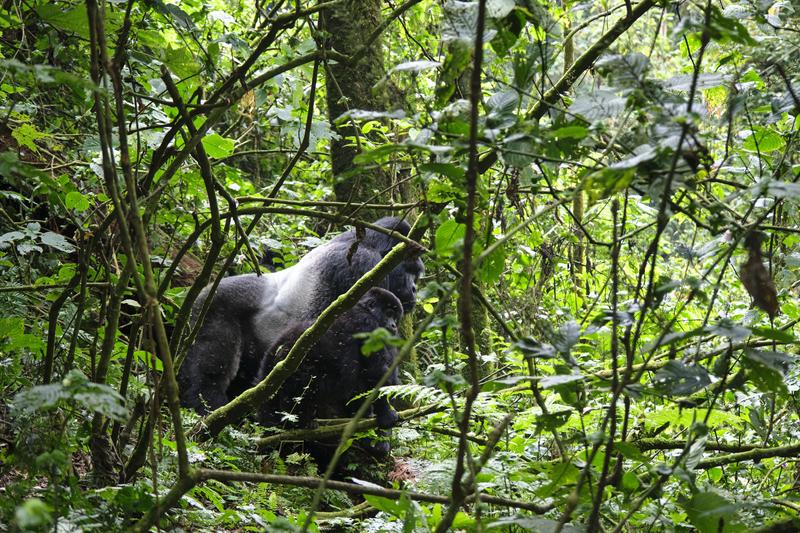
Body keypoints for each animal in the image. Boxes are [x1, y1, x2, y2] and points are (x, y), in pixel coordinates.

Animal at [178, 216, 422, 412]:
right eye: (410, 270)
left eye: (417, 275)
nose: (414, 289)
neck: (370, 243)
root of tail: (202, 292)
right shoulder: (364, 267)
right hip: (212, 308)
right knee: (210, 369)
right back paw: (207, 403)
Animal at [260, 286, 404, 432]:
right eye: (389, 313)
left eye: (395, 318)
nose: (394, 326)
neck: (365, 309)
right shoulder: (368, 324)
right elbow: (376, 372)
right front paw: (386, 414)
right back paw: (300, 422)